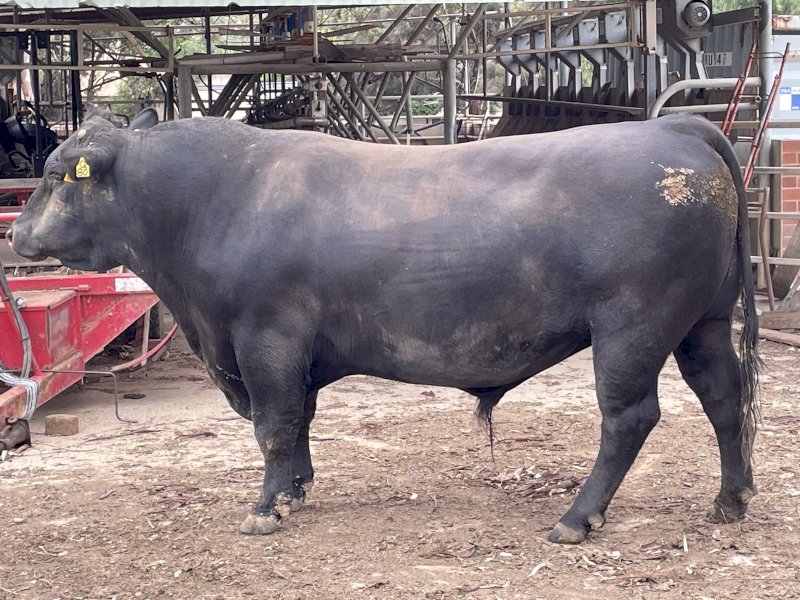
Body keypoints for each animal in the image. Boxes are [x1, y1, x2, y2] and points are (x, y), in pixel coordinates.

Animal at [7, 109, 760, 544]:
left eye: (57, 174)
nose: (14, 232)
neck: (212, 197)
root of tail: (673, 126)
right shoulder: (286, 352)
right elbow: (298, 422)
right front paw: (297, 491)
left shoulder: (264, 338)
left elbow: (273, 424)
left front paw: (266, 510)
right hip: (702, 320)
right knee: (726, 397)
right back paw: (731, 500)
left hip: (633, 325)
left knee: (629, 417)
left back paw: (576, 519)